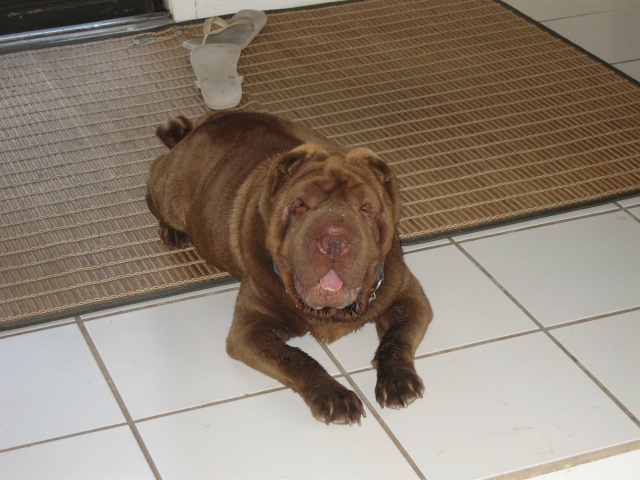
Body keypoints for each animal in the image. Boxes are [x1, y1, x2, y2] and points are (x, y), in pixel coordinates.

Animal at [146, 112, 433, 425]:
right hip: (168, 190)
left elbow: (397, 338)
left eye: (366, 209)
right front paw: (333, 397)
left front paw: (397, 380)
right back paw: (171, 231)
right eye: (300, 206)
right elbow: (298, 360)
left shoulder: (409, 296)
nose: (334, 238)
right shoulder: (250, 329)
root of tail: (209, 120)